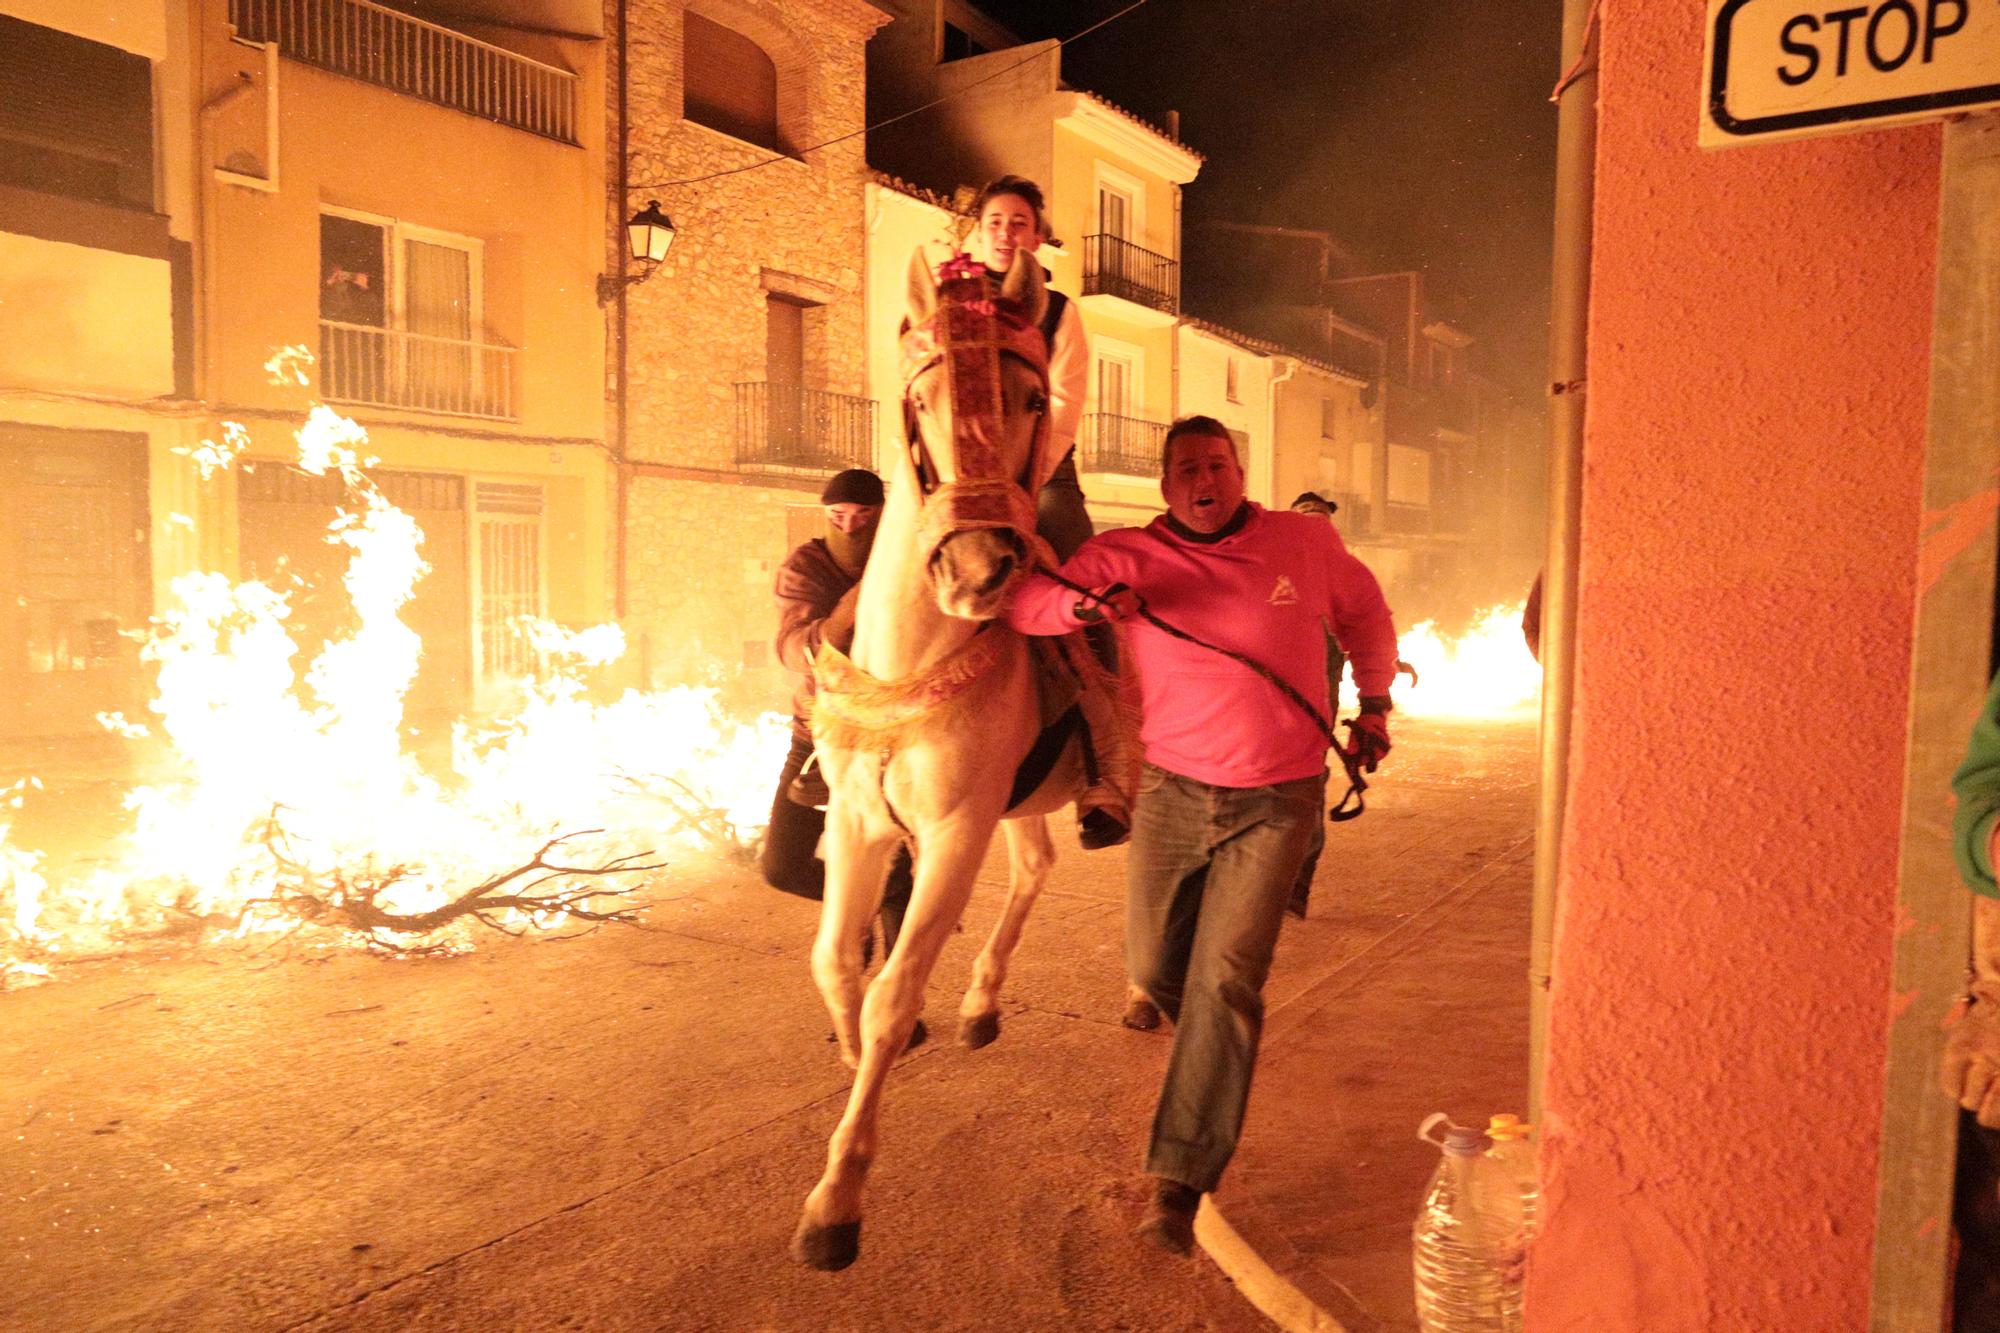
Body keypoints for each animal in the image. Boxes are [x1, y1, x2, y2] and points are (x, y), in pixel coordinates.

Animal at [792, 241, 1104, 1264]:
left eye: (1034, 397)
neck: (918, 660)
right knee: (1038, 865)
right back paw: (981, 1004)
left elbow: (892, 990)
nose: (977, 572)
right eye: (919, 395)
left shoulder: (954, 834)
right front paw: (855, 1059)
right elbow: (836, 962)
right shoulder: (860, 825)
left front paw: (837, 1198)